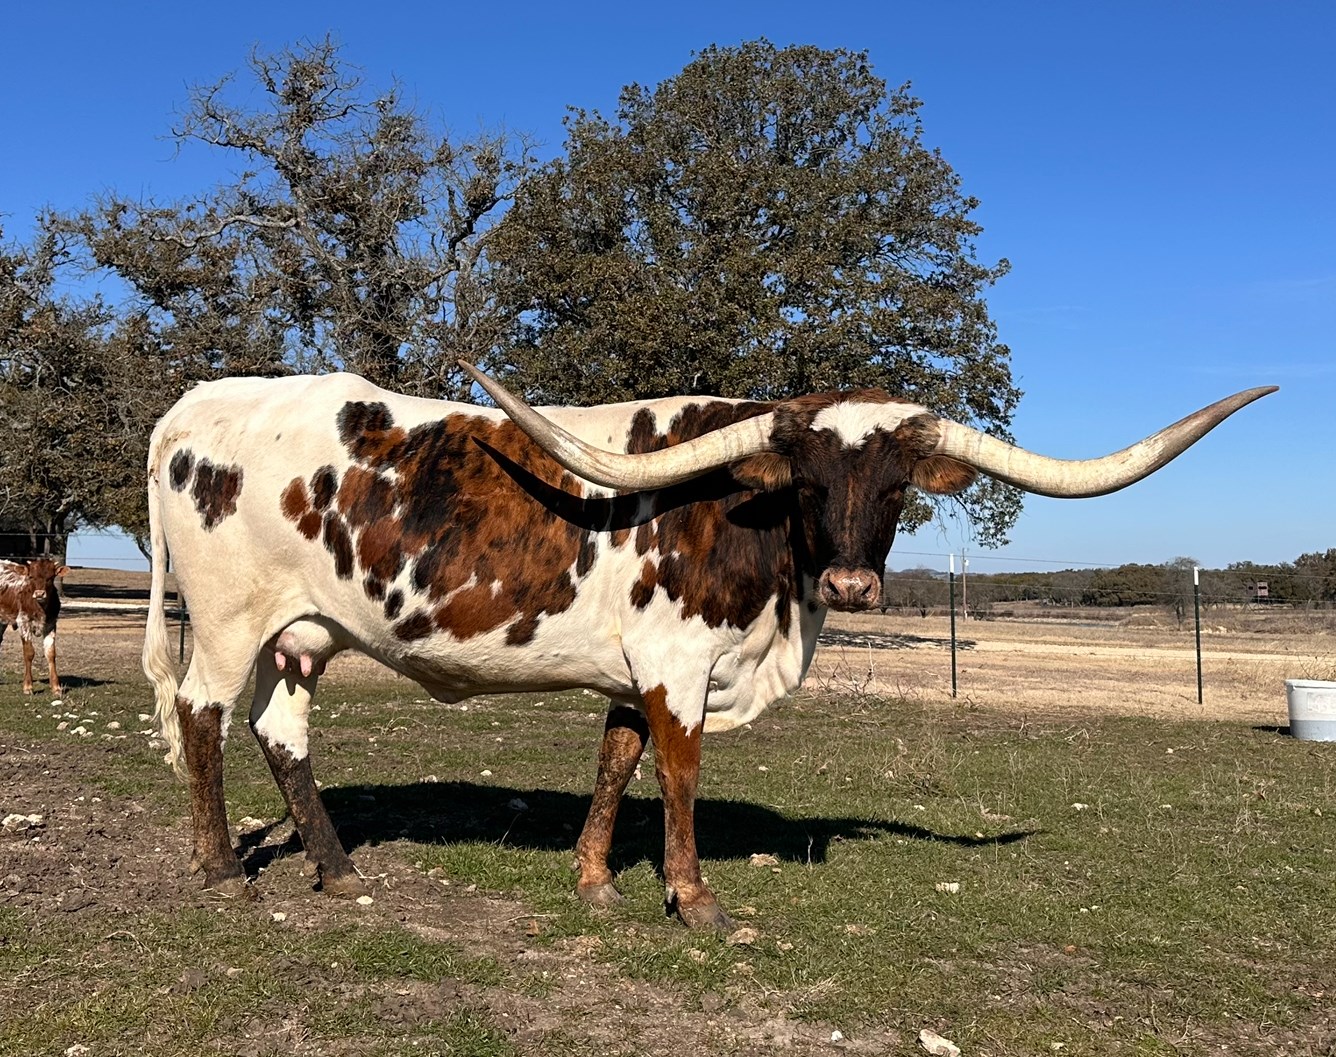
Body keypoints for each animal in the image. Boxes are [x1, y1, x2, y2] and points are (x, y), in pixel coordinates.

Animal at [0, 557, 68, 696]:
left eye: (50, 577)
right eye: (31, 577)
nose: (40, 593)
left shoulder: (51, 624)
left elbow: (50, 653)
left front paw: (56, 687)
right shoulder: (24, 622)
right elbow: (29, 653)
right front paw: (28, 686)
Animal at [141, 365, 1274, 928]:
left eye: (896, 486)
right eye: (807, 480)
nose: (851, 585)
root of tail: (194, 407)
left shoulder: (630, 669)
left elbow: (615, 758)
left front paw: (595, 882)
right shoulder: (679, 666)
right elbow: (677, 773)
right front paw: (691, 898)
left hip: (303, 633)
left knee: (280, 729)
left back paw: (337, 873)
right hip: (231, 620)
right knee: (200, 715)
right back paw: (218, 869)